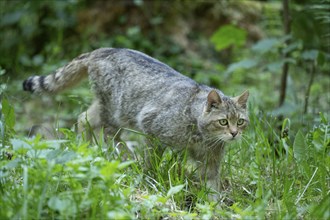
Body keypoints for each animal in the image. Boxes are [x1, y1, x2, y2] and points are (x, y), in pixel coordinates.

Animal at [23, 47, 249, 194]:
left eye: (240, 122)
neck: (204, 138)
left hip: (107, 108)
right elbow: (152, 161)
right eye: (223, 122)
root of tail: (104, 49)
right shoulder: (152, 130)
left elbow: (212, 185)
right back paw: (125, 156)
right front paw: (150, 177)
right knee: (109, 135)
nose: (234, 133)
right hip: (114, 111)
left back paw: (84, 149)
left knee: (83, 118)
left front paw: (215, 205)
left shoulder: (211, 161)